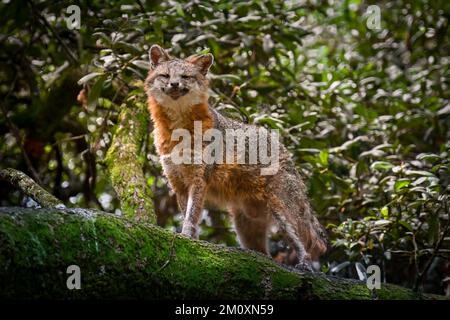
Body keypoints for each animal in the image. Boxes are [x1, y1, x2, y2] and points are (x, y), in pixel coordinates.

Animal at [145, 45, 326, 270]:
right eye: (166, 75)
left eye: (185, 77)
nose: (174, 84)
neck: (178, 131)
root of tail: (286, 153)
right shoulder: (178, 183)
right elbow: (187, 213)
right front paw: (191, 240)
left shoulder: (199, 179)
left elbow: (191, 216)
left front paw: (186, 236)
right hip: (246, 229)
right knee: (264, 253)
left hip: (281, 213)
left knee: (303, 246)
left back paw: (304, 265)